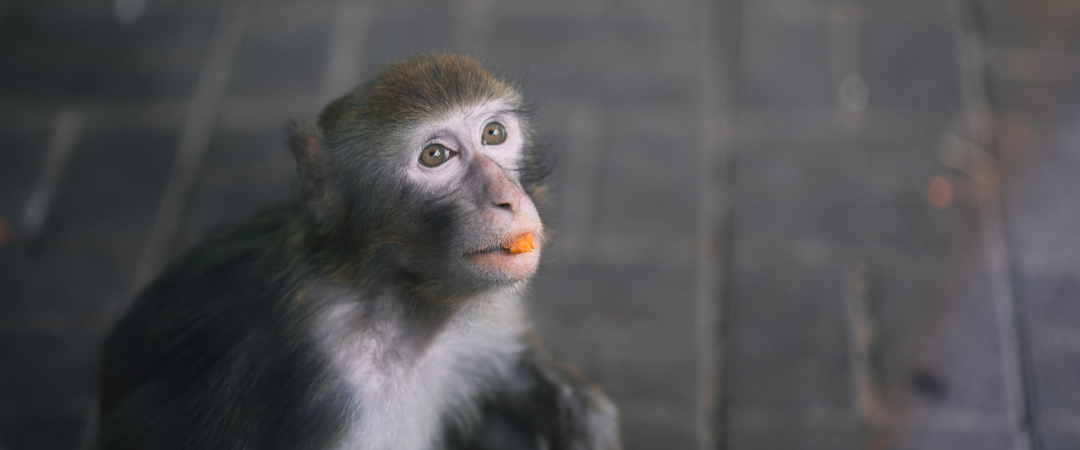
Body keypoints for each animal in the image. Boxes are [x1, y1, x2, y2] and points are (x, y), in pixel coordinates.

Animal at [96, 53, 620, 450]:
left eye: (493, 134)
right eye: (435, 156)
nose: (506, 198)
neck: (395, 309)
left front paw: (573, 409)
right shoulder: (342, 397)